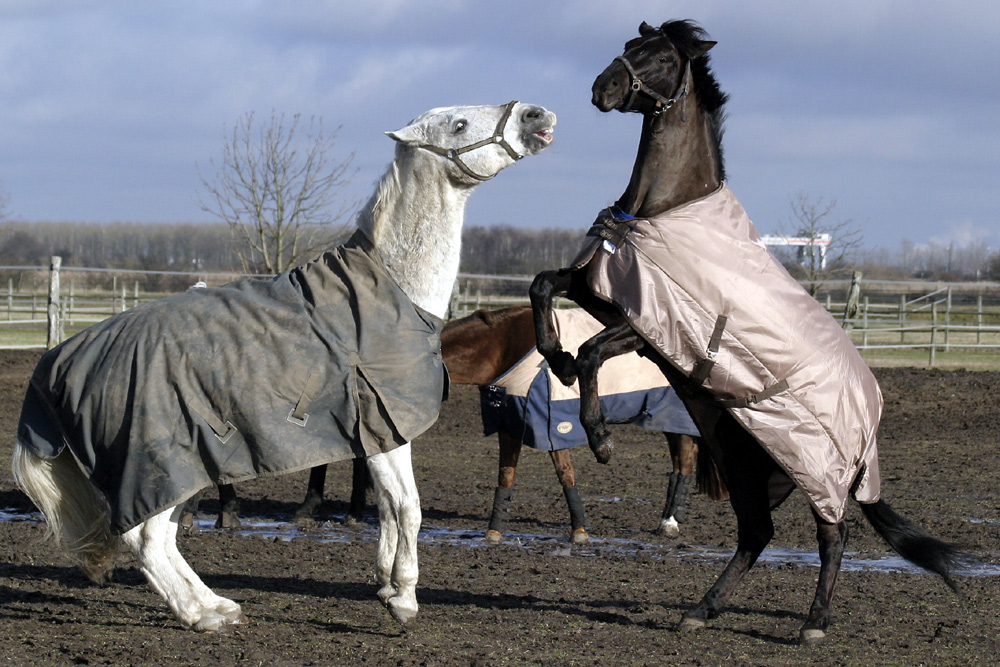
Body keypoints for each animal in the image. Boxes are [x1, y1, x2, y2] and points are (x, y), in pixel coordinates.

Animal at [11, 102, 556, 636]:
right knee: (146, 541)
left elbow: (386, 507)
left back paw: (215, 606)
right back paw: (204, 616)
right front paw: (402, 597)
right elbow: (408, 507)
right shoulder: (387, 427)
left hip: (184, 469)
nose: (536, 115)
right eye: (459, 124)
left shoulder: (373, 435)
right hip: (157, 469)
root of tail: (62, 359)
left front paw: (384, 582)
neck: (391, 295)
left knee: (159, 539)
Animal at [532, 19, 960, 648]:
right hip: (744, 461)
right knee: (756, 531)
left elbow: (589, 354)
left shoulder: (649, 327)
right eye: (629, 46)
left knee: (834, 533)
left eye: (662, 57)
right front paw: (554, 359)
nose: (603, 88)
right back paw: (701, 609)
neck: (662, 209)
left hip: (816, 469)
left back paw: (814, 623)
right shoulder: (602, 293)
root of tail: (870, 413)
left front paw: (602, 438)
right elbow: (542, 288)